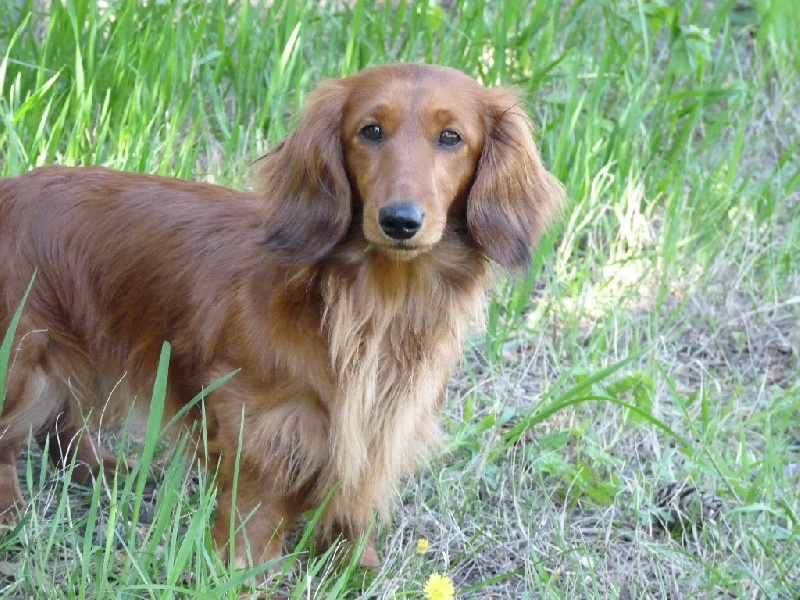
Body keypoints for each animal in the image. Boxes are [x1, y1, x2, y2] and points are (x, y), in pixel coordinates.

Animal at [0, 63, 564, 568]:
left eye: (451, 137)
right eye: (370, 131)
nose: (400, 221)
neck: (371, 300)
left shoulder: (379, 425)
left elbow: (352, 507)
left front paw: (356, 566)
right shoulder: (261, 419)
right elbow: (255, 508)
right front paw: (245, 572)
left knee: (61, 425)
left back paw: (104, 471)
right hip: (22, 360)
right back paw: (12, 516)